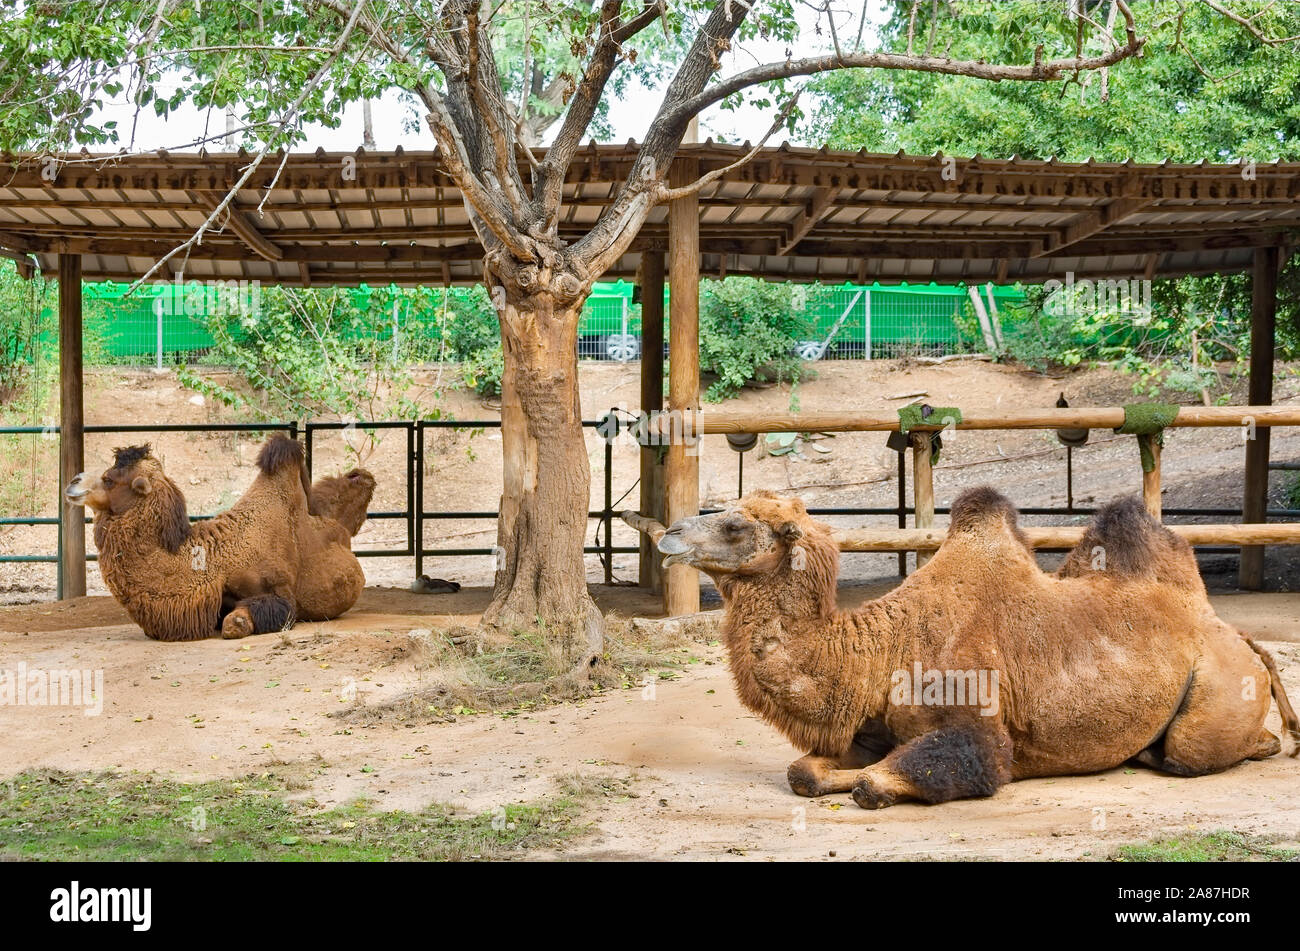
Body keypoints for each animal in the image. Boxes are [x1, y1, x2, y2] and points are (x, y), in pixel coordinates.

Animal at [65, 436, 377, 641]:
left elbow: (245, 617)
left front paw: (236, 622)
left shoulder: (283, 592)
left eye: (108, 479)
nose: (72, 482)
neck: (213, 561)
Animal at [660, 491, 1300, 810]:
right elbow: (805, 772)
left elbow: (901, 777)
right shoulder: (868, 729)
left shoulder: (979, 727)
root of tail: (1230, 630)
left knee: (1195, 750)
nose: (668, 533)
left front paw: (875, 785)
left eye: (737, 527)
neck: (882, 654)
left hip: (1217, 690)